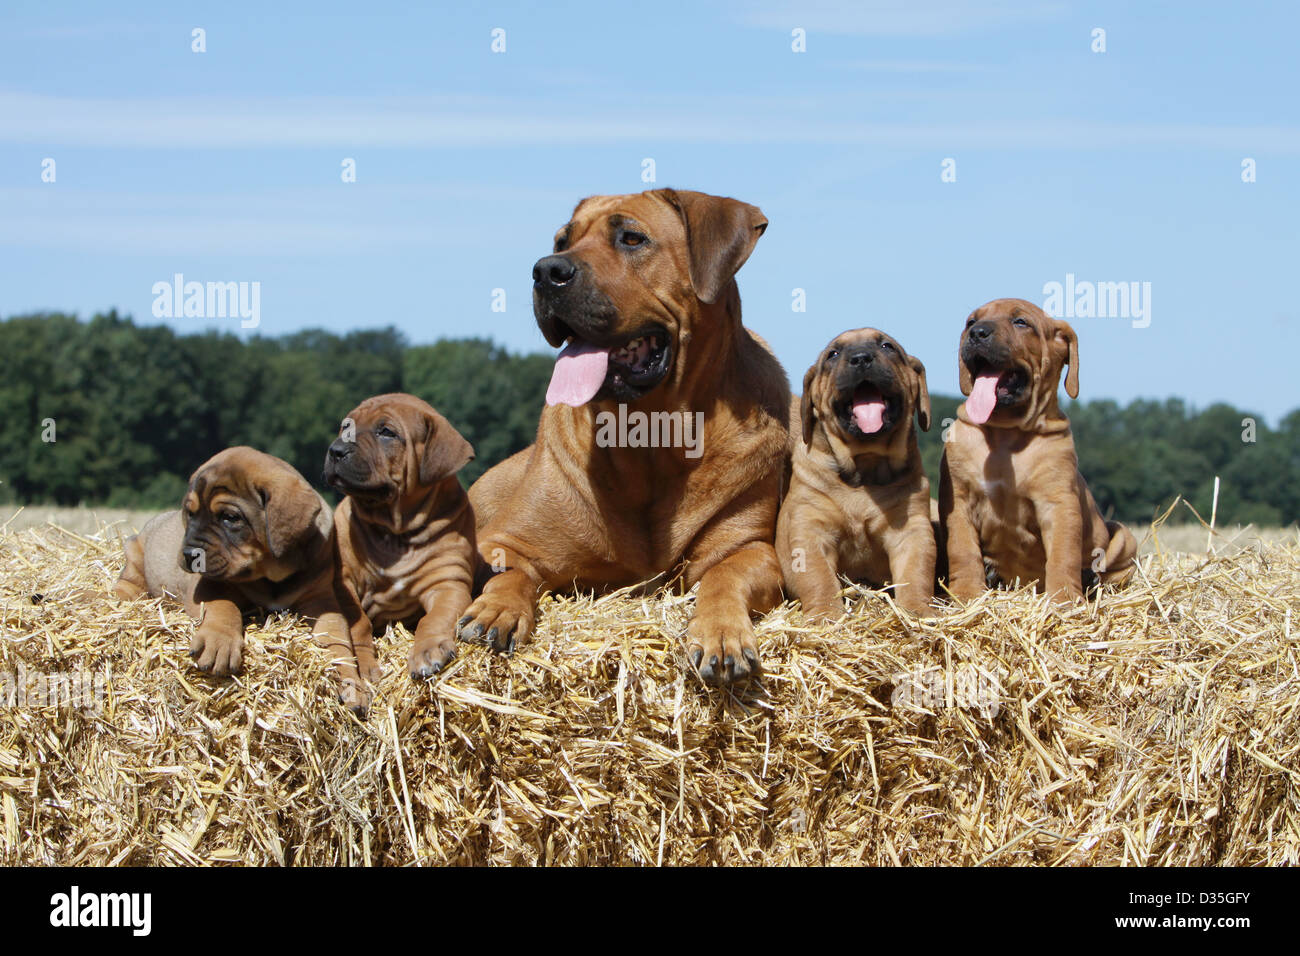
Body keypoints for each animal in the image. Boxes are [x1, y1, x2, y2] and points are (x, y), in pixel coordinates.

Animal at [112, 447, 379, 712]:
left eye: (230, 517)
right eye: (191, 514)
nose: (189, 554)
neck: (272, 576)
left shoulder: (321, 601)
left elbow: (337, 640)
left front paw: (350, 682)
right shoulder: (208, 584)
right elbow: (223, 606)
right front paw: (219, 642)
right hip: (135, 552)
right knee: (128, 582)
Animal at [325, 395, 478, 681]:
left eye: (387, 432)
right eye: (345, 427)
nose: (336, 450)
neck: (395, 532)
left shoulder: (448, 582)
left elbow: (435, 618)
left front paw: (428, 651)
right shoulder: (343, 581)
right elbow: (359, 623)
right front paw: (363, 666)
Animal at [465, 187, 790, 686]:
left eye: (632, 238)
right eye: (562, 241)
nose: (546, 271)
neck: (649, 438)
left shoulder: (749, 547)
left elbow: (724, 577)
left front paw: (722, 634)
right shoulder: (504, 540)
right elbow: (509, 571)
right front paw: (495, 610)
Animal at [774, 327, 941, 621]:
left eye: (887, 347)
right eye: (833, 354)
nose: (861, 358)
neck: (865, 466)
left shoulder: (912, 529)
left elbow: (916, 571)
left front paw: (918, 611)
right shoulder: (810, 528)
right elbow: (819, 577)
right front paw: (825, 614)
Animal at [941, 297, 1133, 606]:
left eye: (1021, 322)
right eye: (971, 321)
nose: (977, 333)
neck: (1005, 433)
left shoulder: (1058, 504)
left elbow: (1062, 555)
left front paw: (1064, 598)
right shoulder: (958, 500)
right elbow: (963, 550)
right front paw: (966, 594)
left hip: (1124, 537)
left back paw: (1090, 580)